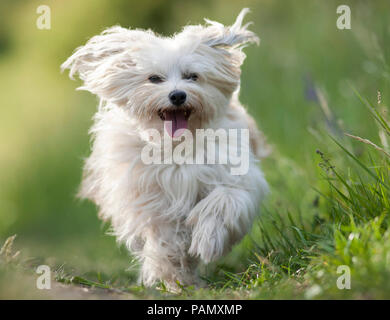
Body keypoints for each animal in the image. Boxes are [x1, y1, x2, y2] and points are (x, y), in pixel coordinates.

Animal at [61, 8, 268, 292]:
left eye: (192, 76)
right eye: (154, 79)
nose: (178, 95)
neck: (176, 147)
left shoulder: (236, 178)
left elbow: (223, 200)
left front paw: (207, 239)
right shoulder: (151, 200)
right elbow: (166, 240)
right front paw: (173, 276)